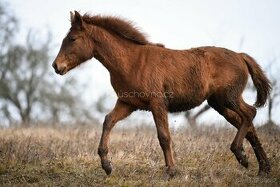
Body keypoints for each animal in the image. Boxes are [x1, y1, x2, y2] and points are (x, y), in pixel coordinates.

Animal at [52, 10, 272, 176]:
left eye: (72, 38)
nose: (56, 66)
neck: (131, 61)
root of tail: (240, 56)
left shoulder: (157, 103)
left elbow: (164, 136)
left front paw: (171, 170)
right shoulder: (127, 103)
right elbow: (108, 121)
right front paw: (107, 165)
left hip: (229, 98)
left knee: (250, 113)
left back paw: (241, 156)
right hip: (219, 104)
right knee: (248, 125)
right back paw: (263, 168)